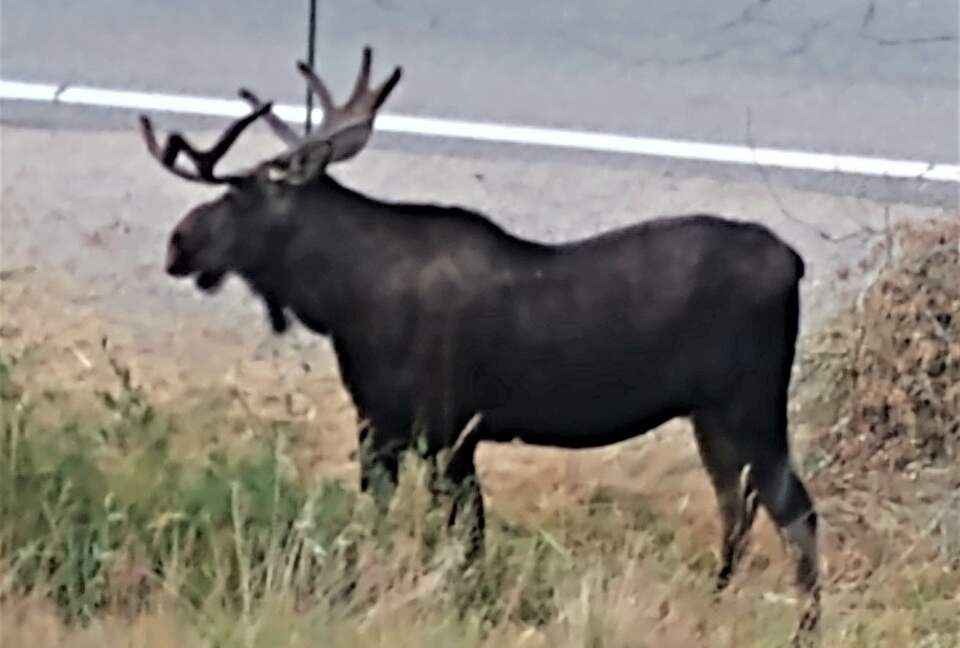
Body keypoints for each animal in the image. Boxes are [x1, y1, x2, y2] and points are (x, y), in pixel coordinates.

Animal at [139, 46, 821, 645]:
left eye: (241, 193)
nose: (177, 244)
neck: (342, 301)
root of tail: (795, 262)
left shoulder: (445, 431)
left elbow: (465, 537)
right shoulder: (383, 427)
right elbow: (394, 523)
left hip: (751, 404)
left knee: (796, 511)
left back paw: (803, 629)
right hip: (711, 416)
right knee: (738, 507)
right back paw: (718, 598)